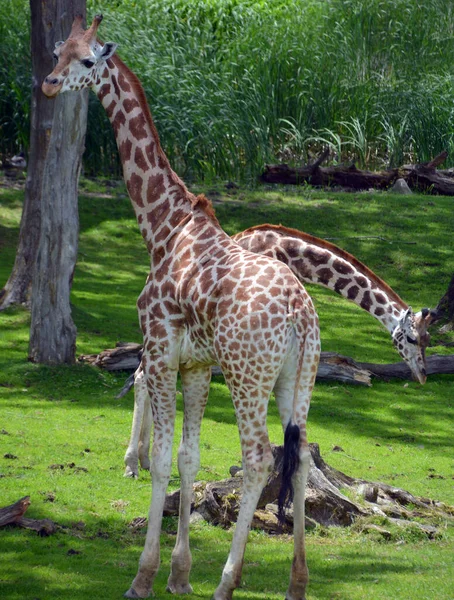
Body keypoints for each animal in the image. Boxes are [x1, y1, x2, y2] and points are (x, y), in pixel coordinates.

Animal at [42, 14, 320, 600]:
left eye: (86, 60)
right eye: (58, 51)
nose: (49, 85)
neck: (162, 227)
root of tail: (301, 316)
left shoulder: (162, 351)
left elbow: (163, 461)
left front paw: (144, 576)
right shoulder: (196, 365)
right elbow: (189, 460)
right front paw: (178, 574)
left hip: (247, 374)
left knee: (259, 458)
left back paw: (227, 582)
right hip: (297, 378)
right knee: (302, 455)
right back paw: (296, 583)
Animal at [124, 225, 432, 478]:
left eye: (428, 339)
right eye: (413, 338)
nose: (423, 375)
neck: (294, 255)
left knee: (144, 374)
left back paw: (144, 460)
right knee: (141, 375)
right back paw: (131, 464)